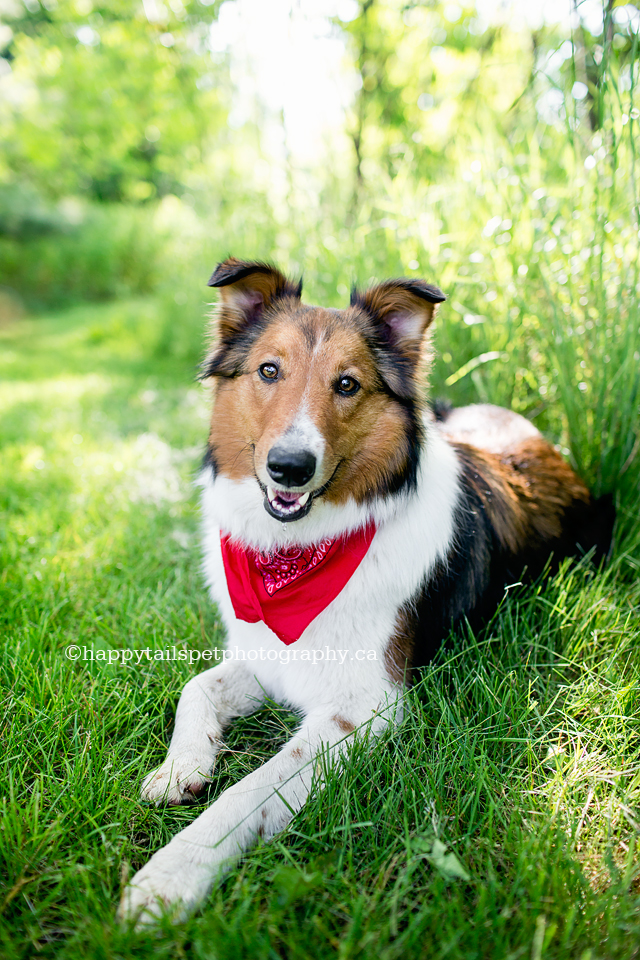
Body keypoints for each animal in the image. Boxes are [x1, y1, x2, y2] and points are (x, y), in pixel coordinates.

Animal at [117, 255, 612, 924]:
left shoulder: (365, 707)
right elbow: (195, 688)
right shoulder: (265, 657)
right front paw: (182, 768)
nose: (289, 468)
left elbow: (248, 792)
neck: (297, 552)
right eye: (268, 371)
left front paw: (172, 876)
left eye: (348, 385)